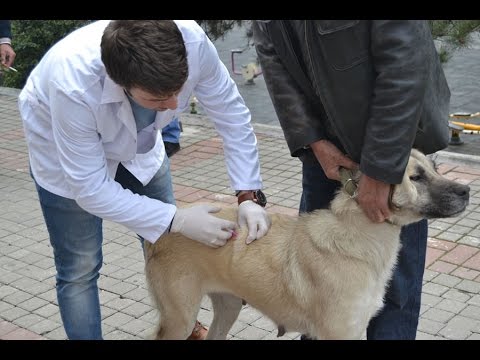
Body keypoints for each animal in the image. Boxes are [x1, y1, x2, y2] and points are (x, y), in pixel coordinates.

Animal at [145, 148, 468, 338]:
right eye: (416, 177)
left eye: (436, 167)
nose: (466, 191)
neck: (359, 236)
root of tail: (165, 229)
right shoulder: (338, 333)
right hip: (180, 318)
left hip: (228, 307)